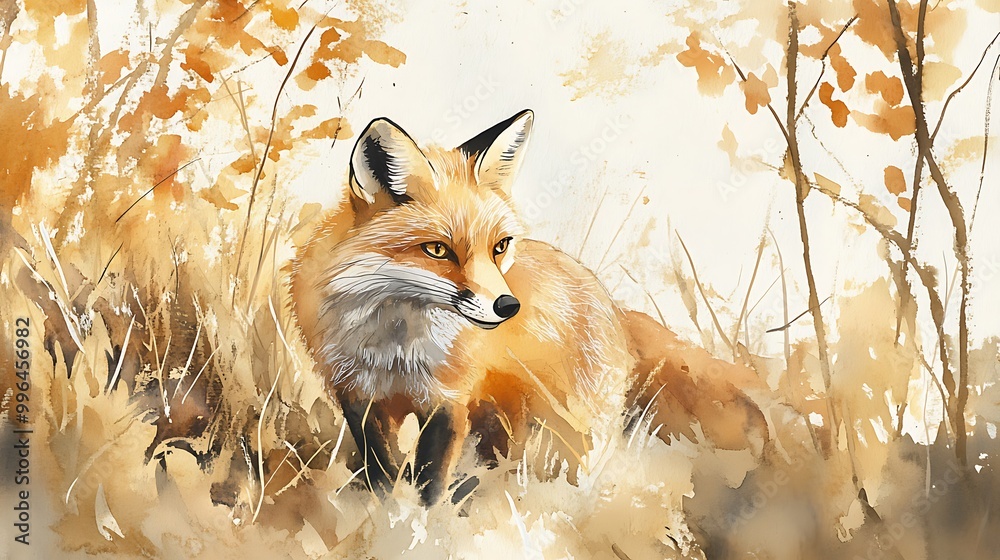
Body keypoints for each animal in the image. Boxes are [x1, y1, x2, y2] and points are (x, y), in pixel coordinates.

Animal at [289, 110, 768, 505]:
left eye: (499, 246)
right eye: (438, 250)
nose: (507, 306)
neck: (396, 346)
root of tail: (613, 307)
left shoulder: (449, 401)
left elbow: (428, 485)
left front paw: (420, 527)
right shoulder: (357, 397)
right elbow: (382, 473)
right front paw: (386, 515)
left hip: (564, 429)